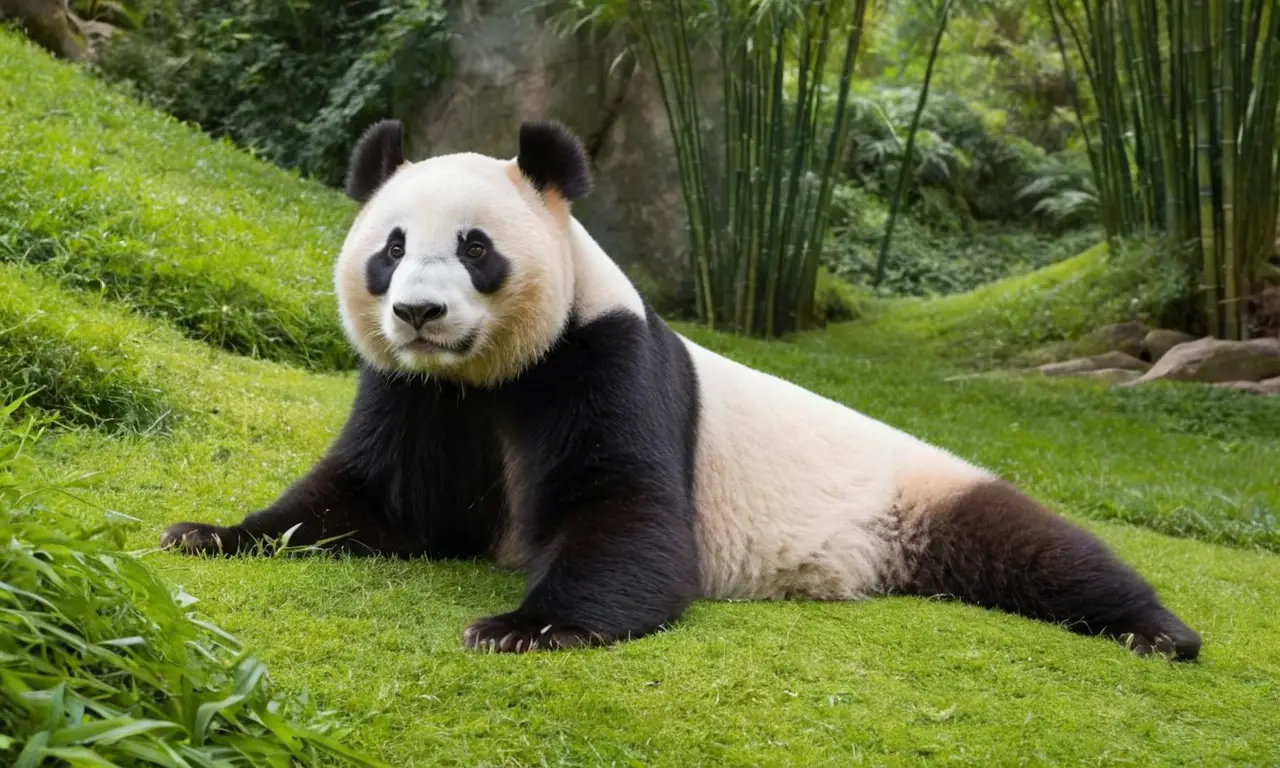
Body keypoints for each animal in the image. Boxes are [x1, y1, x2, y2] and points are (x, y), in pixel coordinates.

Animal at [160, 119, 1202, 661]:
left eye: (476, 247)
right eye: (388, 249)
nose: (419, 313)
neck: (487, 375)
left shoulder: (606, 359)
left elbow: (628, 511)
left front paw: (525, 625)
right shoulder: (418, 395)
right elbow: (369, 498)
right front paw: (206, 534)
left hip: (919, 489)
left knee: (1039, 548)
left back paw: (1160, 631)